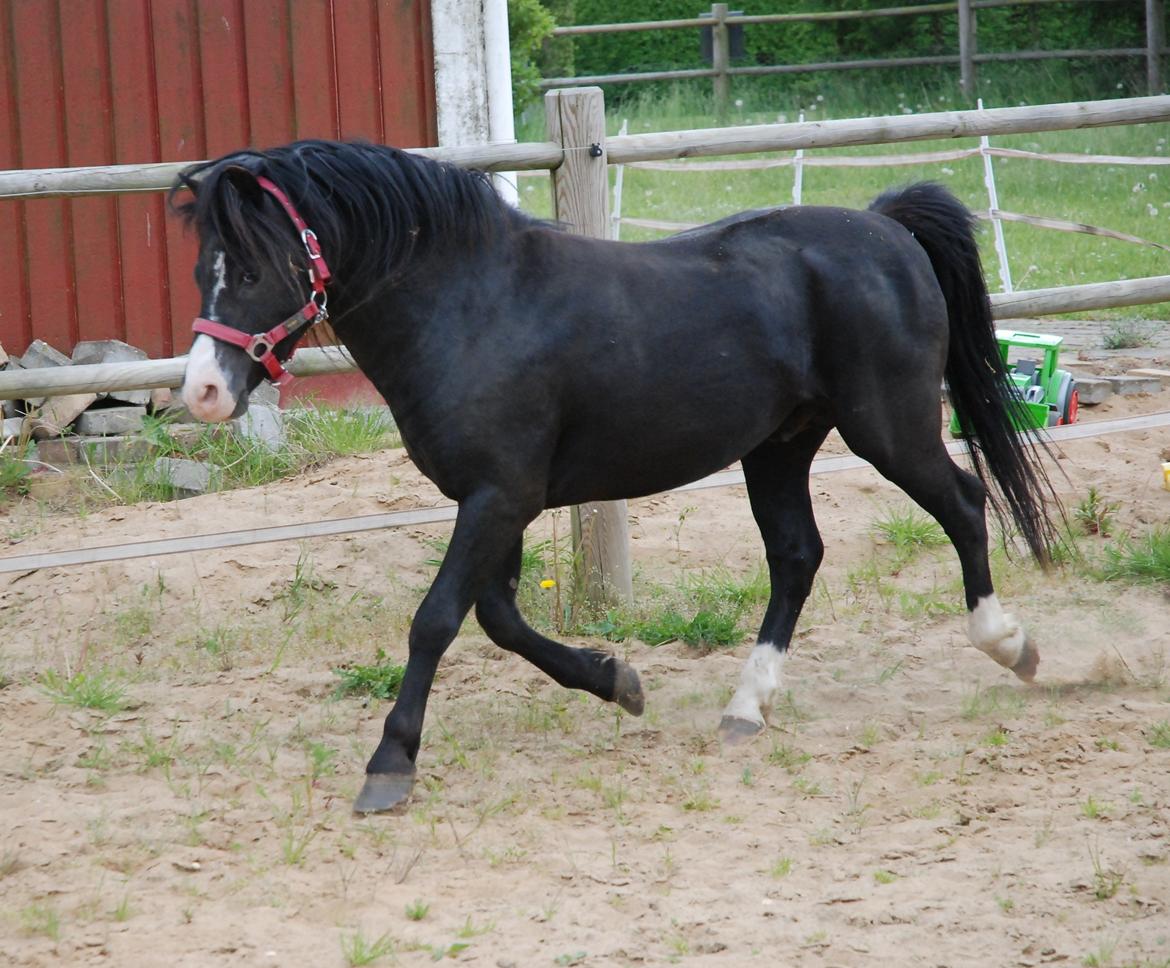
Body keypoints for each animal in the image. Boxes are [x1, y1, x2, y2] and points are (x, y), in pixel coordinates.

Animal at [173, 139, 1062, 814]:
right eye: (203, 267)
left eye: (252, 270)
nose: (203, 392)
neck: (472, 306)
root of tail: (886, 229)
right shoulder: (496, 500)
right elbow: (499, 618)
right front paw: (618, 681)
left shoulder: (500, 497)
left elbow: (437, 620)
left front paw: (389, 765)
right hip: (779, 446)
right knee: (797, 556)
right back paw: (746, 708)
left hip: (889, 428)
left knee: (964, 504)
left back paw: (1013, 647)